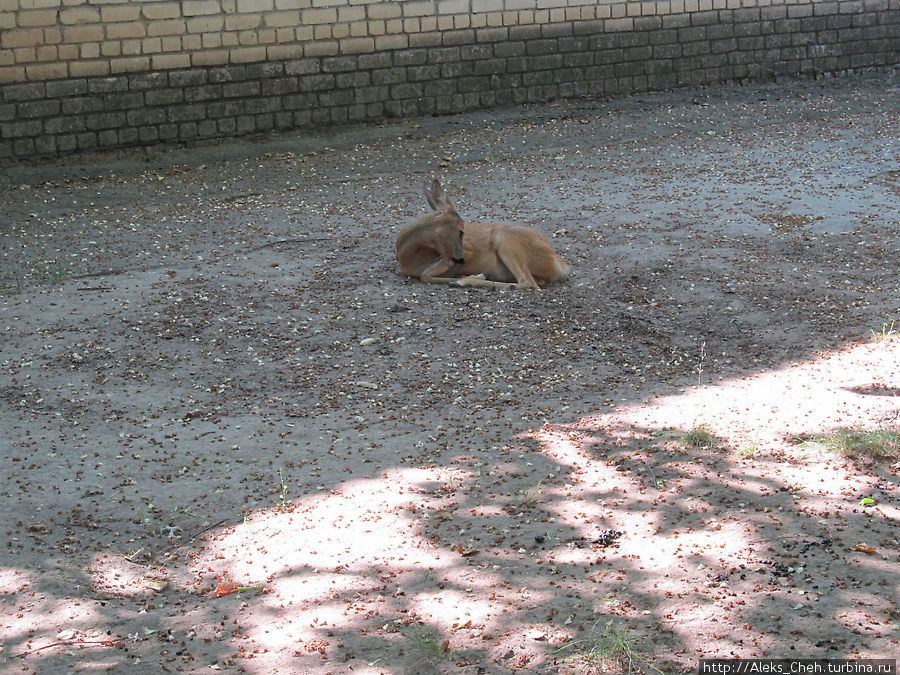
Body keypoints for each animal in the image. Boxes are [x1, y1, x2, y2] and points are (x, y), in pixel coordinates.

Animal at [396, 178, 568, 290]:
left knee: (527, 283)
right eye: (460, 231)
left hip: (505, 240)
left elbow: (425, 275)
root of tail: (559, 263)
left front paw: (473, 276)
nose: (460, 259)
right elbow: (426, 274)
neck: (408, 258)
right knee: (536, 282)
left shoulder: (466, 251)